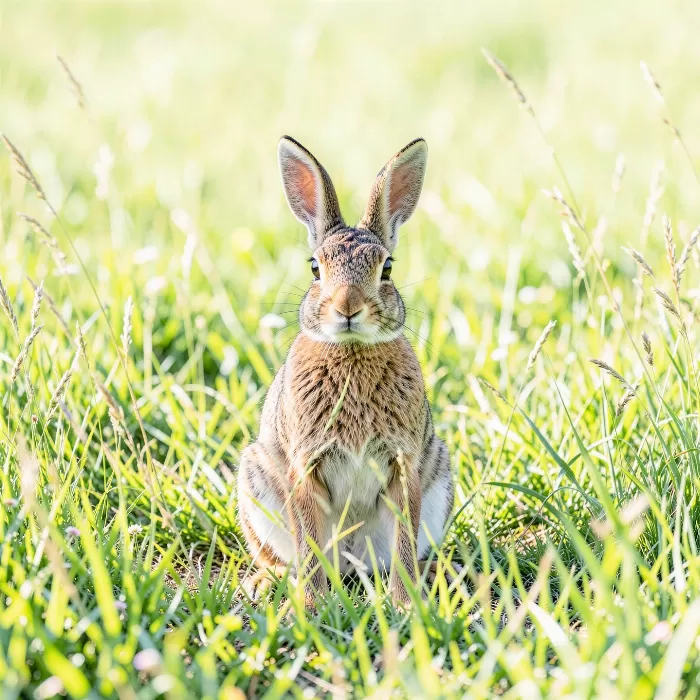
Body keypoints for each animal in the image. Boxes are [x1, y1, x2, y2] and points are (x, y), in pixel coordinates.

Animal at [237, 136, 454, 607]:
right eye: (314, 268)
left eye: (387, 268)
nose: (348, 308)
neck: (352, 351)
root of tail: (352, 560)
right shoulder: (305, 465)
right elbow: (309, 545)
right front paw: (312, 606)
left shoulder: (403, 465)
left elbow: (404, 542)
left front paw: (404, 604)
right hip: (256, 484)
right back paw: (266, 583)